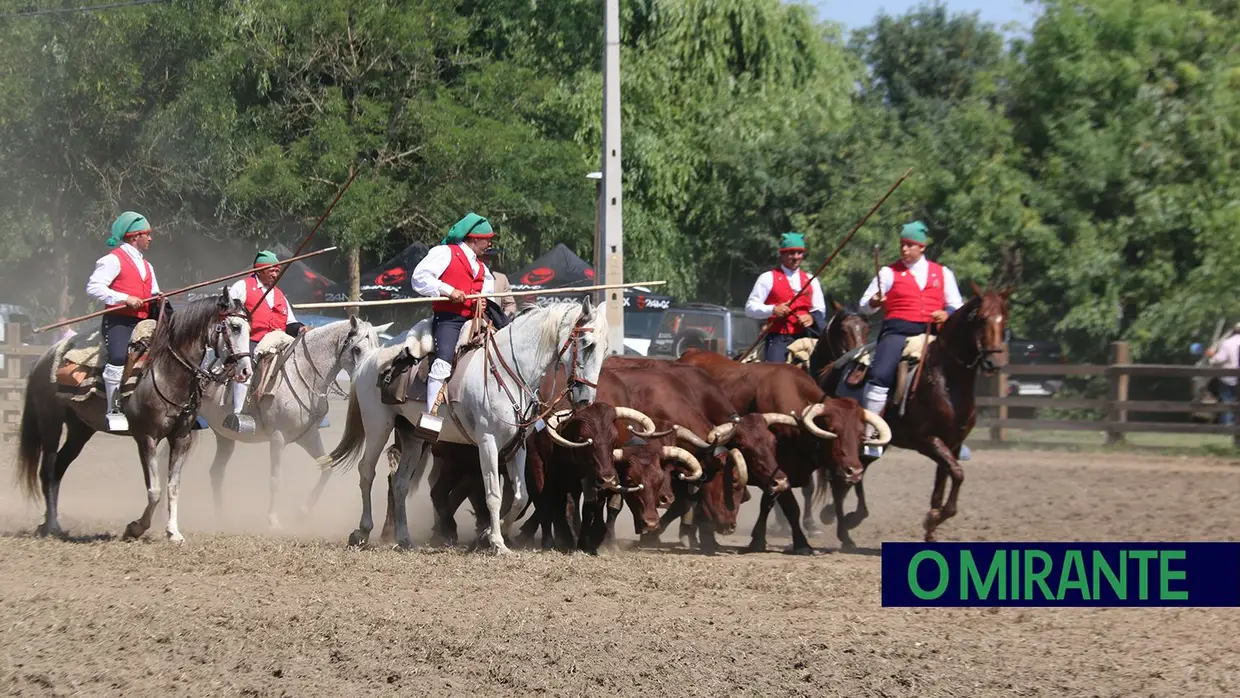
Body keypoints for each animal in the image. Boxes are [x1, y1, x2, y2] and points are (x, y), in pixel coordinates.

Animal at [15, 290, 254, 540]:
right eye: (235, 327)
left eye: (249, 328)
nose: (245, 370)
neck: (167, 372)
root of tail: (45, 357)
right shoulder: (146, 437)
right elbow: (155, 489)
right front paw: (136, 527)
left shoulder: (181, 438)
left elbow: (172, 486)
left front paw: (173, 532)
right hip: (50, 423)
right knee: (48, 470)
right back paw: (51, 525)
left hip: (80, 429)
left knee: (59, 469)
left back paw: (52, 524)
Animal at [199, 317, 381, 530]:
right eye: (357, 349)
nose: (369, 377)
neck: (301, 373)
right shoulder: (278, 438)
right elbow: (275, 480)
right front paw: (273, 519)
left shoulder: (309, 436)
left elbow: (327, 467)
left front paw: (303, 511)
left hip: (224, 437)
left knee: (216, 473)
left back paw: (221, 518)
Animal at [319, 297, 610, 555]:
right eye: (587, 344)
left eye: (605, 349)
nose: (586, 398)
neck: (507, 371)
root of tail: (369, 360)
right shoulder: (488, 443)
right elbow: (493, 494)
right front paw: (497, 543)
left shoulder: (518, 446)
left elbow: (520, 496)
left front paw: (493, 532)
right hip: (378, 427)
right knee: (366, 473)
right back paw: (362, 531)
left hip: (413, 436)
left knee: (400, 483)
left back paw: (404, 539)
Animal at [679, 347, 892, 555]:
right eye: (833, 429)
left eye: (861, 433)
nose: (854, 471)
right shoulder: (780, 472)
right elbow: (791, 507)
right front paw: (802, 544)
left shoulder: (775, 475)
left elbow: (767, 503)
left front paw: (758, 539)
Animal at [818, 281, 1011, 543]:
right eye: (981, 319)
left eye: (1004, 319)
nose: (994, 363)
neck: (944, 379)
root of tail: (831, 369)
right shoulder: (928, 441)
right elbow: (958, 473)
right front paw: (932, 519)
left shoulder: (953, 445)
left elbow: (944, 485)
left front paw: (932, 526)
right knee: (838, 480)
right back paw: (844, 531)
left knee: (852, 475)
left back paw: (848, 519)